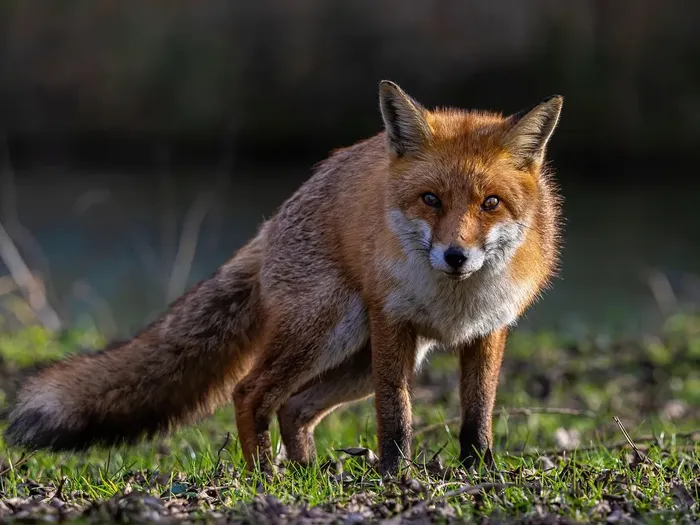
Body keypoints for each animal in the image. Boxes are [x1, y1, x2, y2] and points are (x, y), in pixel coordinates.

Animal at [5, 81, 563, 476]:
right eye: (430, 199)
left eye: (490, 203)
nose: (455, 256)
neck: (454, 301)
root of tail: (272, 222)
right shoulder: (392, 323)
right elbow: (396, 414)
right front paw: (396, 474)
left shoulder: (489, 330)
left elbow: (477, 414)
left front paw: (479, 472)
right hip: (331, 333)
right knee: (251, 392)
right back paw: (264, 476)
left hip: (359, 359)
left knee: (294, 405)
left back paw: (308, 472)